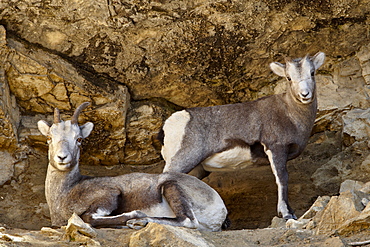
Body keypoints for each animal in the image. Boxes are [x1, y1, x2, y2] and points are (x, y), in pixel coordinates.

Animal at [38, 102, 228, 232]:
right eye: (49, 138)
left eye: (78, 139)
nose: (62, 157)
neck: (67, 192)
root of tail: (220, 208)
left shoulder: (110, 195)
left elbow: (88, 217)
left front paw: (134, 215)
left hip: (170, 186)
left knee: (187, 220)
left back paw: (139, 221)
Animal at [160, 52, 326, 220]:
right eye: (289, 78)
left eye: (312, 73)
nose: (305, 94)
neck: (291, 114)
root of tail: (168, 126)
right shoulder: (276, 149)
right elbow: (282, 178)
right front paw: (287, 214)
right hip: (183, 160)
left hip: (196, 169)